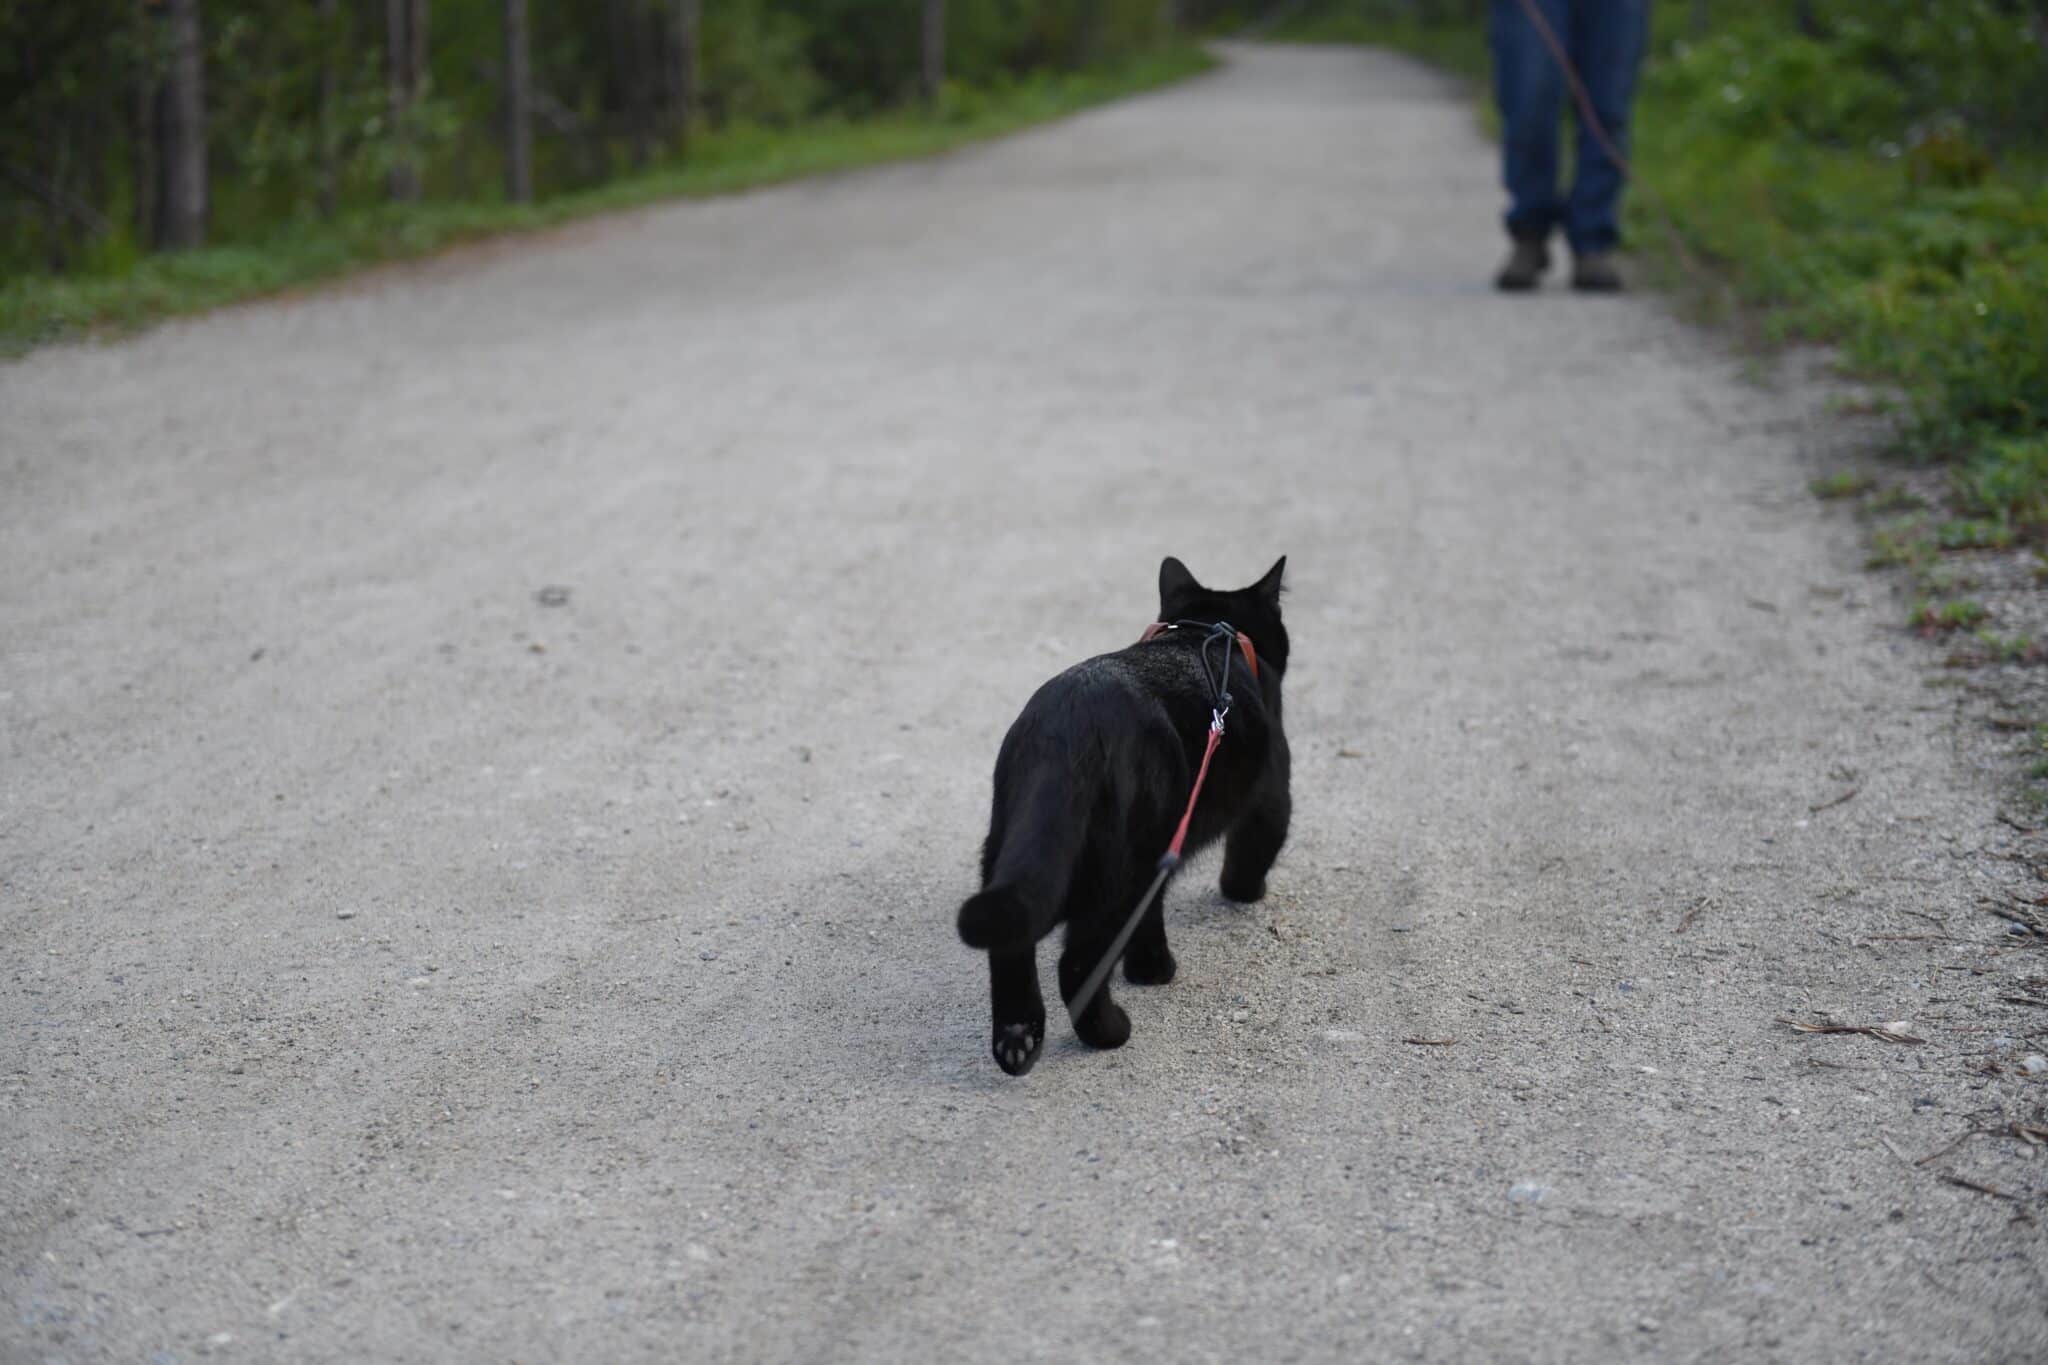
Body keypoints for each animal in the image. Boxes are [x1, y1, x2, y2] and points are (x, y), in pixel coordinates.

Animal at [958, 556, 1294, 1080]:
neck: (1200, 633)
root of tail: (1067, 726)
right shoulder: (1270, 793)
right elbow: (1252, 852)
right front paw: (1241, 898)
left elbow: (1150, 918)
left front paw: (1148, 971)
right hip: (1121, 865)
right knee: (1077, 963)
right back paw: (1109, 1031)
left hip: (1015, 846)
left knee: (1013, 944)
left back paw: (1017, 1042)